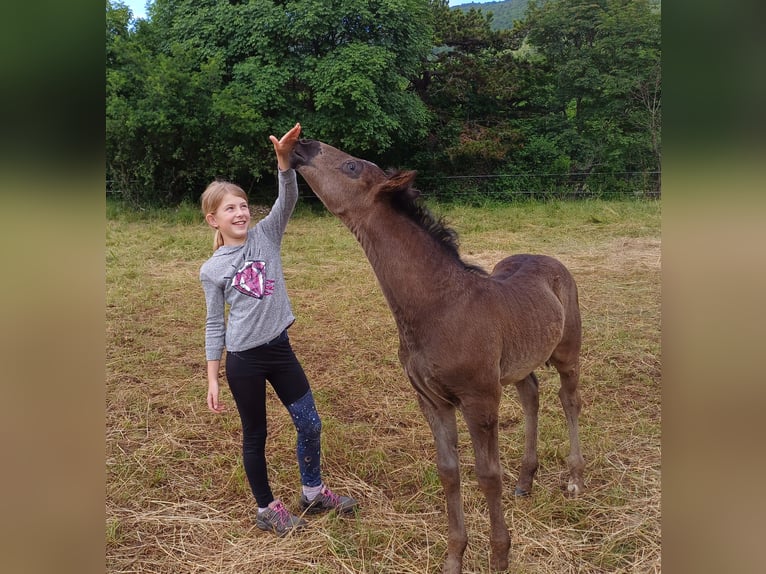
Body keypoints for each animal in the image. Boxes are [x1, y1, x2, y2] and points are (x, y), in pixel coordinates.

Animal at [290, 140, 585, 573]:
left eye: (351, 166)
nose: (302, 145)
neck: (438, 307)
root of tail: (549, 260)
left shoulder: (480, 400)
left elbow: (488, 475)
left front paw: (500, 555)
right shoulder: (431, 400)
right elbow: (449, 472)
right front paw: (454, 557)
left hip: (566, 353)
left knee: (569, 401)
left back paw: (575, 479)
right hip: (516, 365)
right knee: (531, 394)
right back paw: (526, 481)